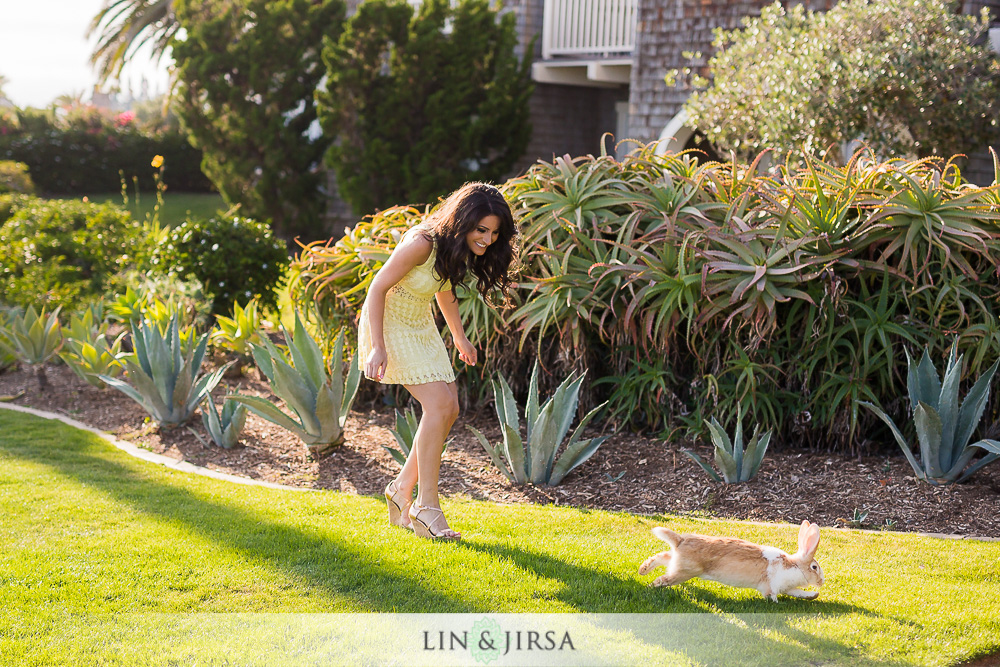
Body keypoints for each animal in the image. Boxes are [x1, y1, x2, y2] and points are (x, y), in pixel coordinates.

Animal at [636, 520, 824, 604]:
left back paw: (643, 569)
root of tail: (680, 541)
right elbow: (772, 595)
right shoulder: (772, 587)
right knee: (662, 579)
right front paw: (777, 604)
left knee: (662, 557)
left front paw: (813, 595)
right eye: (814, 567)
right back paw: (649, 587)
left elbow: (798, 592)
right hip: (684, 572)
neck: (793, 565)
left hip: (678, 564)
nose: (822, 582)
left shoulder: (787, 587)